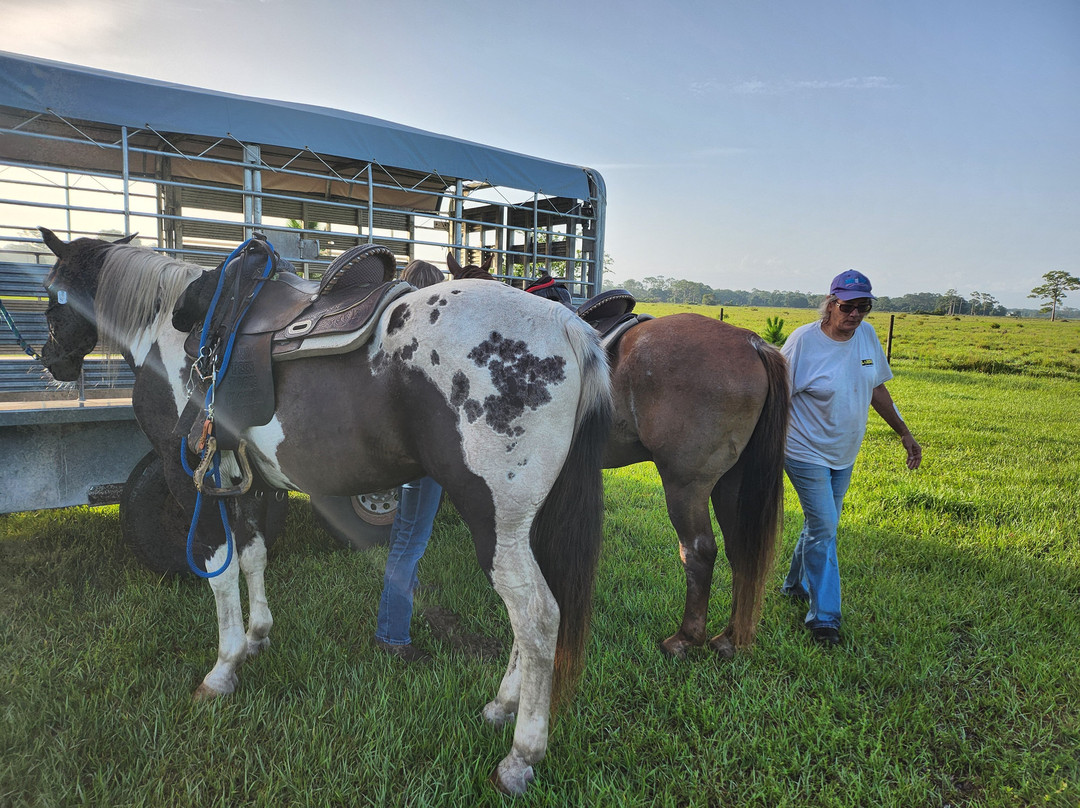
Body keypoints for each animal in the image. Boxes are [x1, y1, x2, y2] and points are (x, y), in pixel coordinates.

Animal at [38, 229, 612, 795]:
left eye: (50, 295)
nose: (51, 360)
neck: (175, 333)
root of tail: (568, 325)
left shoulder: (190, 476)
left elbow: (219, 569)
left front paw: (223, 669)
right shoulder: (246, 480)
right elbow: (253, 556)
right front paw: (257, 637)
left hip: (494, 521)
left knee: (536, 617)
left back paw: (520, 757)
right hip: (524, 528)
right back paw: (502, 706)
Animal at [446, 252, 789, 659]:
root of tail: (753, 343)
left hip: (685, 485)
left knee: (699, 552)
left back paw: (685, 638)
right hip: (731, 482)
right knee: (741, 552)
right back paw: (730, 638)